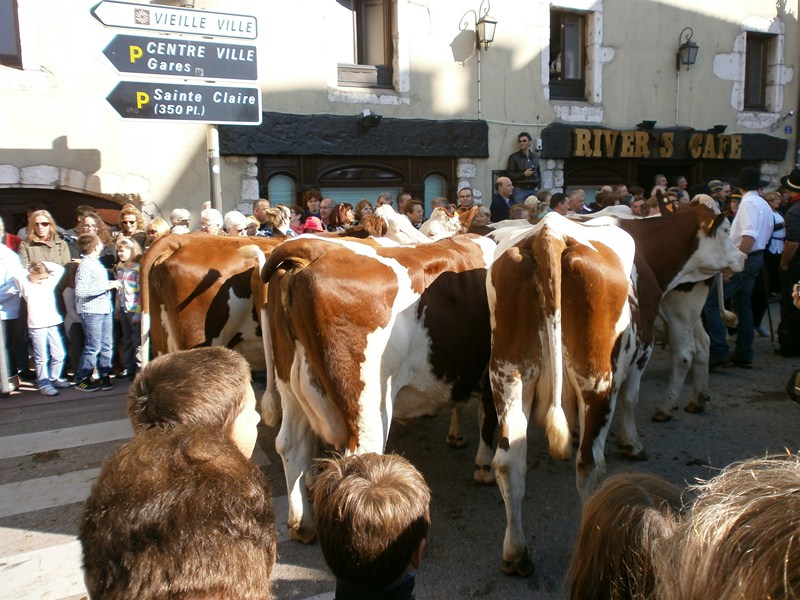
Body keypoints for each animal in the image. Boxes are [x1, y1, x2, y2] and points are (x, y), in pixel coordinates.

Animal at [262, 234, 496, 544]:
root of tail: (313, 250)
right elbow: (490, 417)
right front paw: (485, 467)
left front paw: (457, 436)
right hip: (368, 408)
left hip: (291, 386)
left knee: (290, 444)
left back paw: (302, 525)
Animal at [484, 206, 748, 576]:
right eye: (726, 230)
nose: (743, 256)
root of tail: (549, 234)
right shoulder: (642, 346)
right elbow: (632, 398)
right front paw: (633, 442)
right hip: (597, 380)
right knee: (589, 463)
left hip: (509, 376)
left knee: (509, 464)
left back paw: (516, 552)